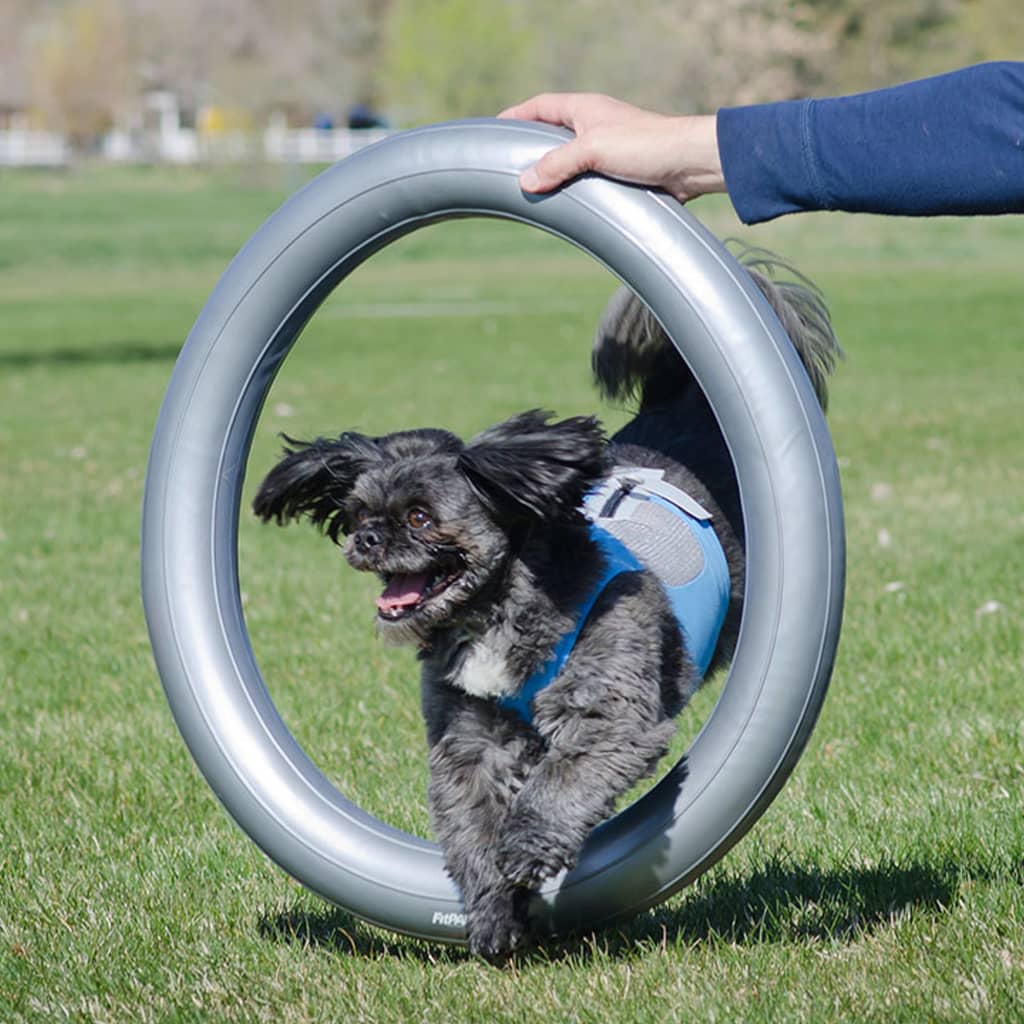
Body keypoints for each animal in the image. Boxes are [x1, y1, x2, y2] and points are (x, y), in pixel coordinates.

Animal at [251, 251, 835, 954]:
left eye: (420, 517)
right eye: (360, 512)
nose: (366, 538)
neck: (499, 610)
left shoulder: (607, 715)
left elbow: (559, 783)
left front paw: (527, 850)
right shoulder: (469, 741)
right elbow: (470, 829)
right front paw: (492, 913)